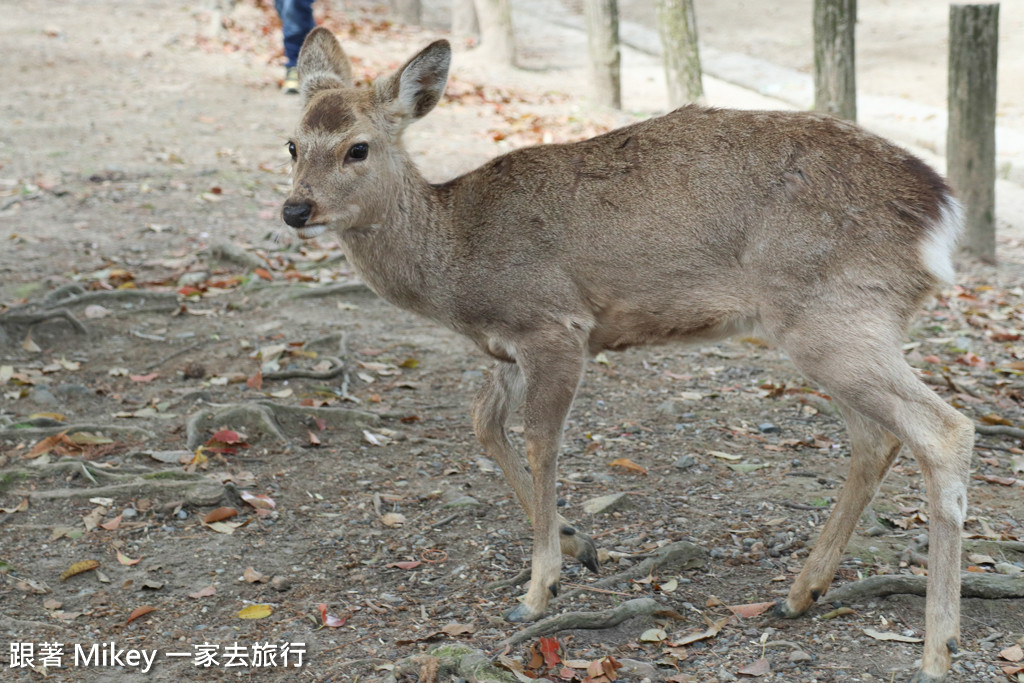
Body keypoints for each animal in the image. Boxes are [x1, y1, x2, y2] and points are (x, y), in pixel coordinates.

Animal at [282, 28, 974, 683]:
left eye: (358, 147)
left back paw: (936, 650)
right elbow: (483, 425)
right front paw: (579, 544)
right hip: (836, 325)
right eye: (291, 144)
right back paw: (801, 594)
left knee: (944, 430)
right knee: (875, 437)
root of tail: (941, 216)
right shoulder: (505, 347)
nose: (295, 208)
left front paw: (538, 590)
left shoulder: (554, 325)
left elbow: (541, 442)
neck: (454, 265)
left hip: (833, 314)